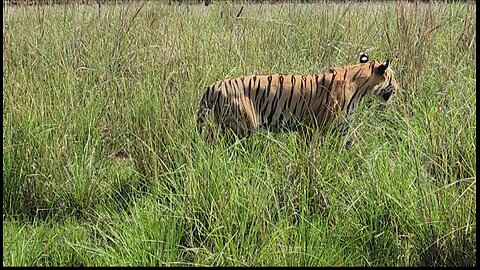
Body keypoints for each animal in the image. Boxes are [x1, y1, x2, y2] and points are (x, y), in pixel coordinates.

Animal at [197, 53, 400, 144]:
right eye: (393, 77)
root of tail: (212, 86)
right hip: (243, 126)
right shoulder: (320, 126)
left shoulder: (343, 126)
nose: (398, 88)